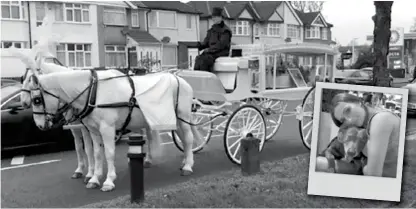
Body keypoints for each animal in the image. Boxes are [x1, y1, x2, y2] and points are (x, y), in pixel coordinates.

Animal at [17, 52, 196, 193]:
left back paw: (188, 166)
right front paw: (94, 178)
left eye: (37, 99)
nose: (40, 125)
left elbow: (107, 153)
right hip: (171, 120)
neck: (93, 92)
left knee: (188, 139)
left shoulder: (106, 129)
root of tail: (179, 78)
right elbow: (95, 152)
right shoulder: (92, 130)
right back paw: (179, 161)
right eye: (22, 79)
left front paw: (108, 180)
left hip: (183, 117)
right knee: (179, 138)